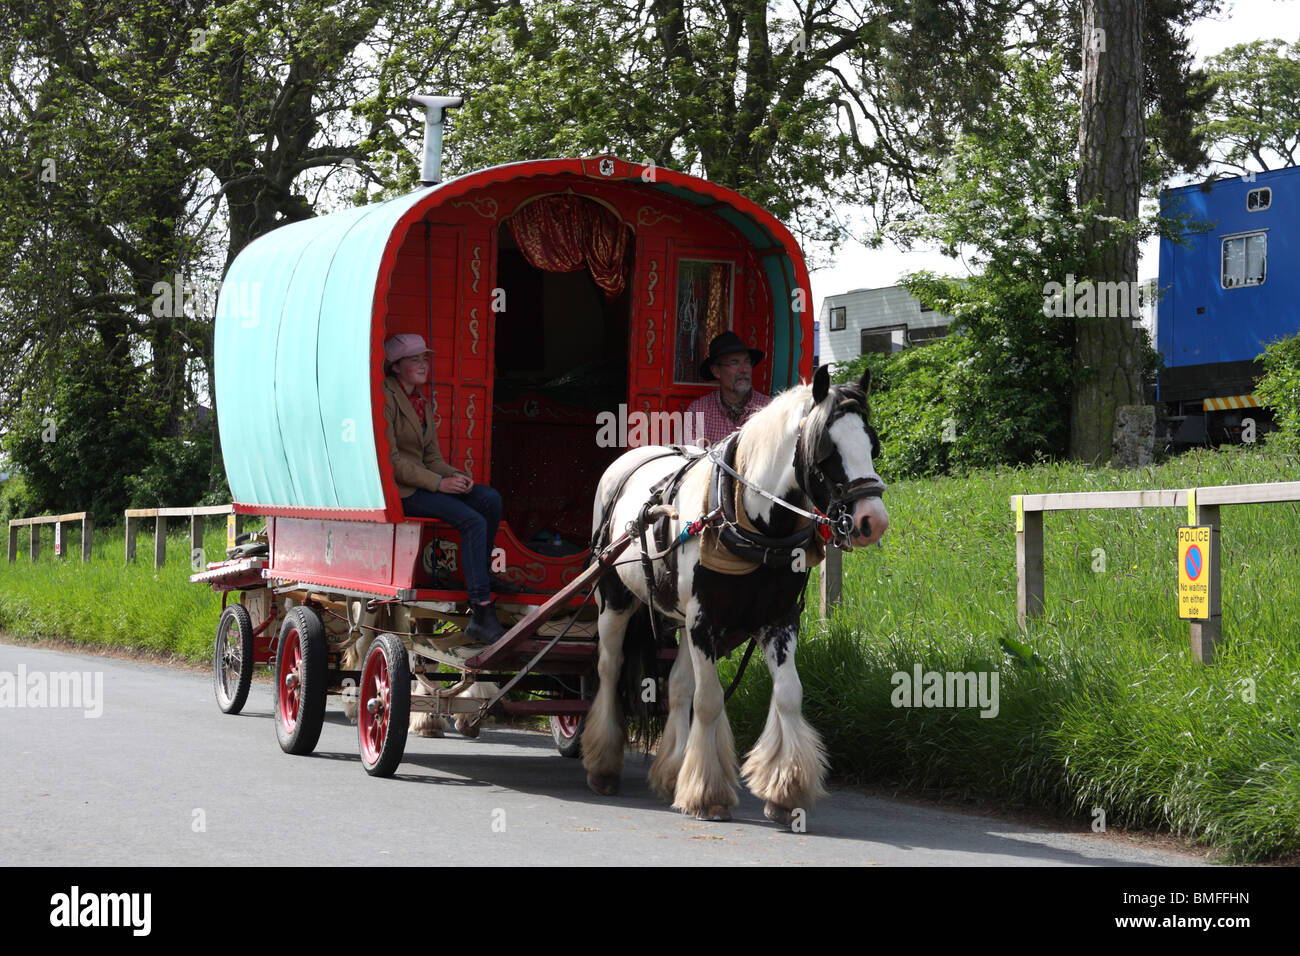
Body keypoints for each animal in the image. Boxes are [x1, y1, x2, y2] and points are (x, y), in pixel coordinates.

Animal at [585, 361, 889, 827]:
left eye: (872, 443)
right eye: (825, 452)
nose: (873, 520)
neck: (750, 523)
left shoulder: (777, 621)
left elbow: (788, 695)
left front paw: (786, 789)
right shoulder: (704, 620)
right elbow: (710, 701)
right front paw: (707, 794)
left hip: (678, 617)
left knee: (678, 686)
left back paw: (673, 772)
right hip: (615, 600)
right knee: (609, 668)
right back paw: (603, 764)